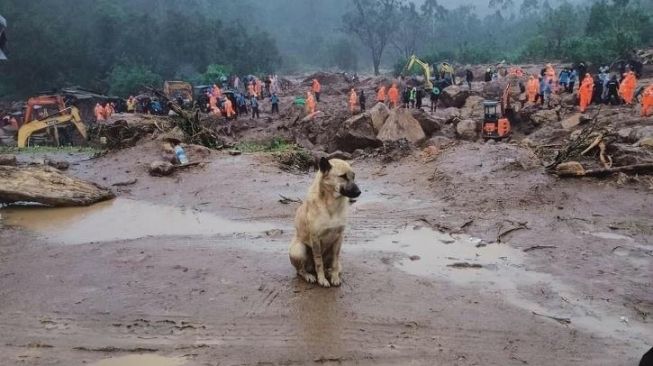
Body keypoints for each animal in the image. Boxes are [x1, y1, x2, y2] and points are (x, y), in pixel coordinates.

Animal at [290, 157, 362, 286]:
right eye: (343, 176)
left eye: (353, 176)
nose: (359, 192)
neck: (331, 204)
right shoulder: (315, 238)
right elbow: (318, 261)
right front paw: (322, 279)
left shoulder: (339, 237)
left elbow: (335, 260)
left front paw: (334, 277)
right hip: (298, 250)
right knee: (301, 270)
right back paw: (309, 275)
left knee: (333, 266)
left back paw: (329, 272)